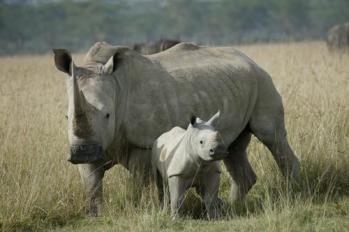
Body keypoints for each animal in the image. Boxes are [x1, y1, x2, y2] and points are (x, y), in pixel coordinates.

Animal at [53, 41, 300, 216]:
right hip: (236, 85)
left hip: (262, 80)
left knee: (271, 136)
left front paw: (141, 211)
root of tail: (250, 59)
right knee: (234, 148)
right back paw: (231, 207)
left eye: (107, 115)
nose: (81, 153)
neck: (116, 85)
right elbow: (91, 184)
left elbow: (140, 183)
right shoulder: (89, 141)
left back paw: (294, 195)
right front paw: (96, 215)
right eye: (66, 116)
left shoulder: (142, 143)